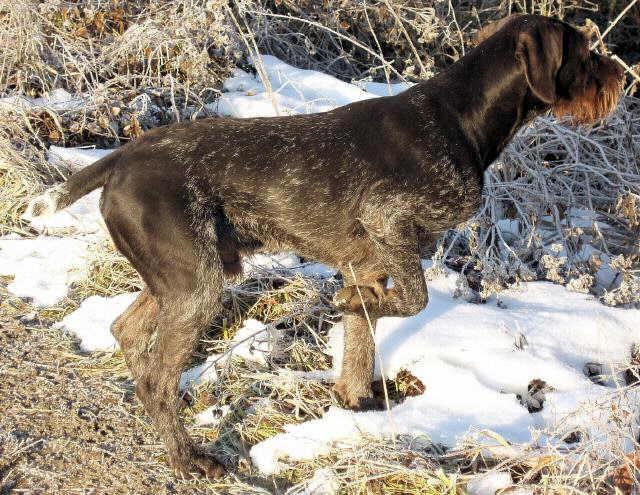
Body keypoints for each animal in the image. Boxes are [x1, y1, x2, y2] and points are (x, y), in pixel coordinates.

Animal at [27, 13, 624, 476]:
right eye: (586, 52)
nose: (621, 73)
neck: (462, 120)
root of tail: (118, 159)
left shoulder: (367, 261)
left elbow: (363, 338)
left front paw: (354, 403)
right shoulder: (390, 228)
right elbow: (411, 301)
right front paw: (347, 312)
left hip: (182, 277)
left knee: (126, 331)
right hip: (197, 283)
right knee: (155, 375)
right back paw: (185, 458)